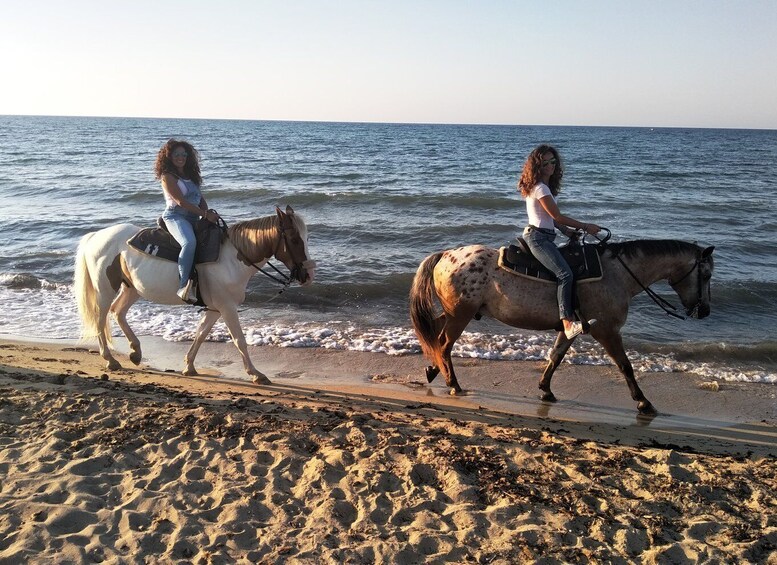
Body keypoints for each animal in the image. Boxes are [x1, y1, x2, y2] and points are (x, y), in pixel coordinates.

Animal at [73, 205, 316, 382]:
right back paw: (110, 359)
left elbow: (200, 334)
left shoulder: (215, 309)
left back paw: (135, 352)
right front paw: (256, 374)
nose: (308, 275)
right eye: (295, 239)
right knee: (101, 318)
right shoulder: (227, 307)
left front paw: (189, 366)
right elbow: (239, 340)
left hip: (133, 288)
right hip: (105, 288)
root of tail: (96, 236)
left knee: (118, 312)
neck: (232, 258)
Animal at [410, 234, 712, 414]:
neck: (618, 274)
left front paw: (545, 389)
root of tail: (446, 255)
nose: (705, 311)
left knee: (434, 335)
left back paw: (432, 369)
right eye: (707, 274)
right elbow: (625, 365)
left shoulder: (572, 328)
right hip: (461, 314)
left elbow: (556, 356)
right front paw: (643, 401)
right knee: (444, 344)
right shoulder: (607, 331)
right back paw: (453, 383)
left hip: (454, 313)